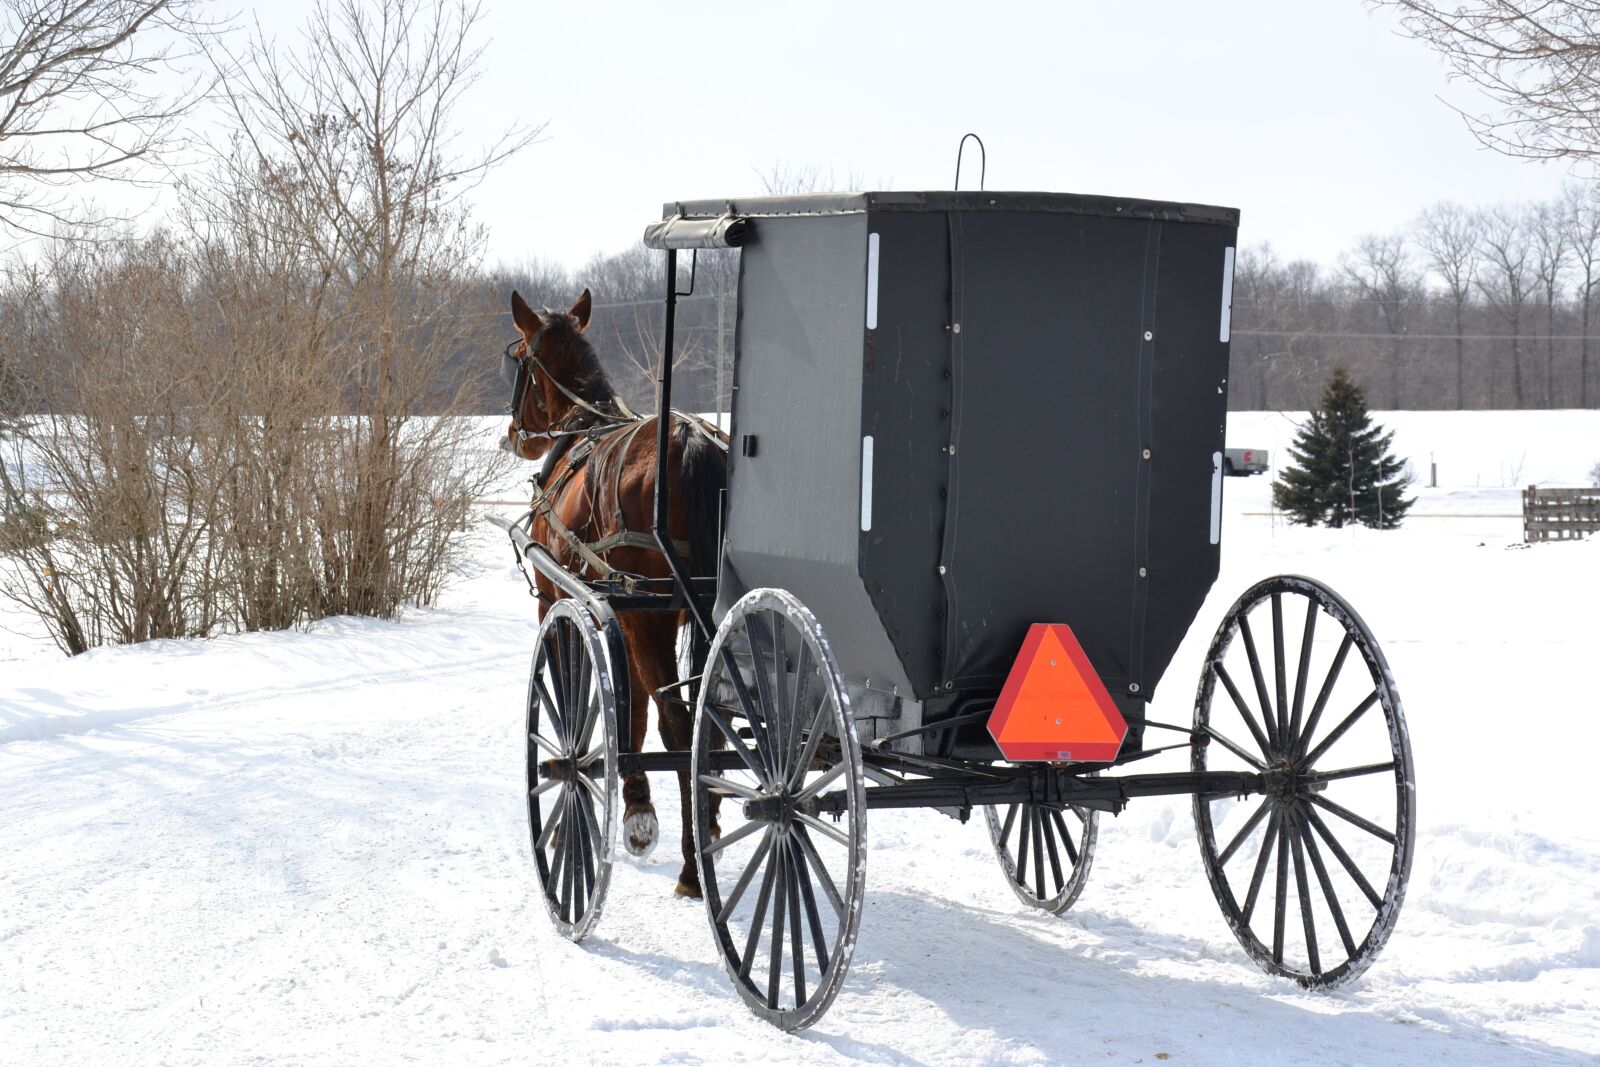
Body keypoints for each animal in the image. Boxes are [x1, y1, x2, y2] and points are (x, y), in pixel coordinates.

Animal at [502, 287, 727, 898]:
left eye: (519, 360)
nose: (513, 435)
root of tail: (691, 441)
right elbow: (636, 709)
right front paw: (638, 808)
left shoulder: (563, 601)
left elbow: (606, 705)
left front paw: (610, 803)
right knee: (710, 723)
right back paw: (710, 822)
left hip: (644, 612)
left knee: (680, 725)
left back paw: (692, 866)